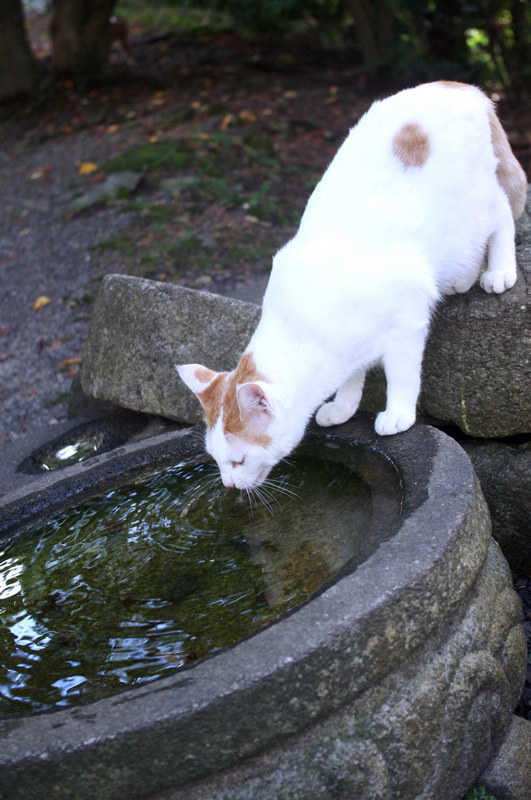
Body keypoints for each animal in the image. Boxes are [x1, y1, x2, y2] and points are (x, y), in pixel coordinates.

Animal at [178, 84, 528, 490]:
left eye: (238, 460)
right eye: (216, 459)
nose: (229, 485)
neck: (303, 325)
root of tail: (457, 86)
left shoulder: (407, 321)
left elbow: (402, 373)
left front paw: (398, 413)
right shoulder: (346, 347)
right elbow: (350, 378)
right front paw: (343, 407)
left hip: (471, 209)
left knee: (501, 213)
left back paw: (499, 271)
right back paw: (463, 279)